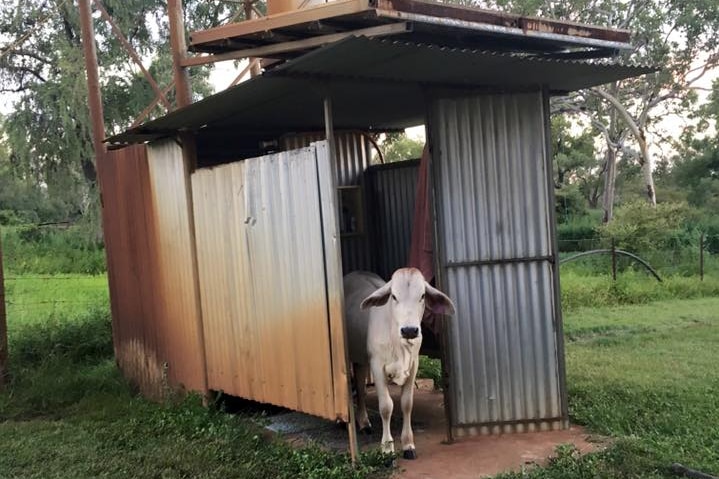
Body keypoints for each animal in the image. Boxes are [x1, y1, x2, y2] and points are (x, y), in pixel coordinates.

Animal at [344, 268, 456, 460]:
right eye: (394, 296)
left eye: (422, 296)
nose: (409, 330)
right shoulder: (377, 365)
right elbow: (386, 407)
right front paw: (387, 449)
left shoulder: (414, 366)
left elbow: (406, 404)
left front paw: (408, 445)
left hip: (361, 359)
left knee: (360, 384)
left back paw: (364, 422)